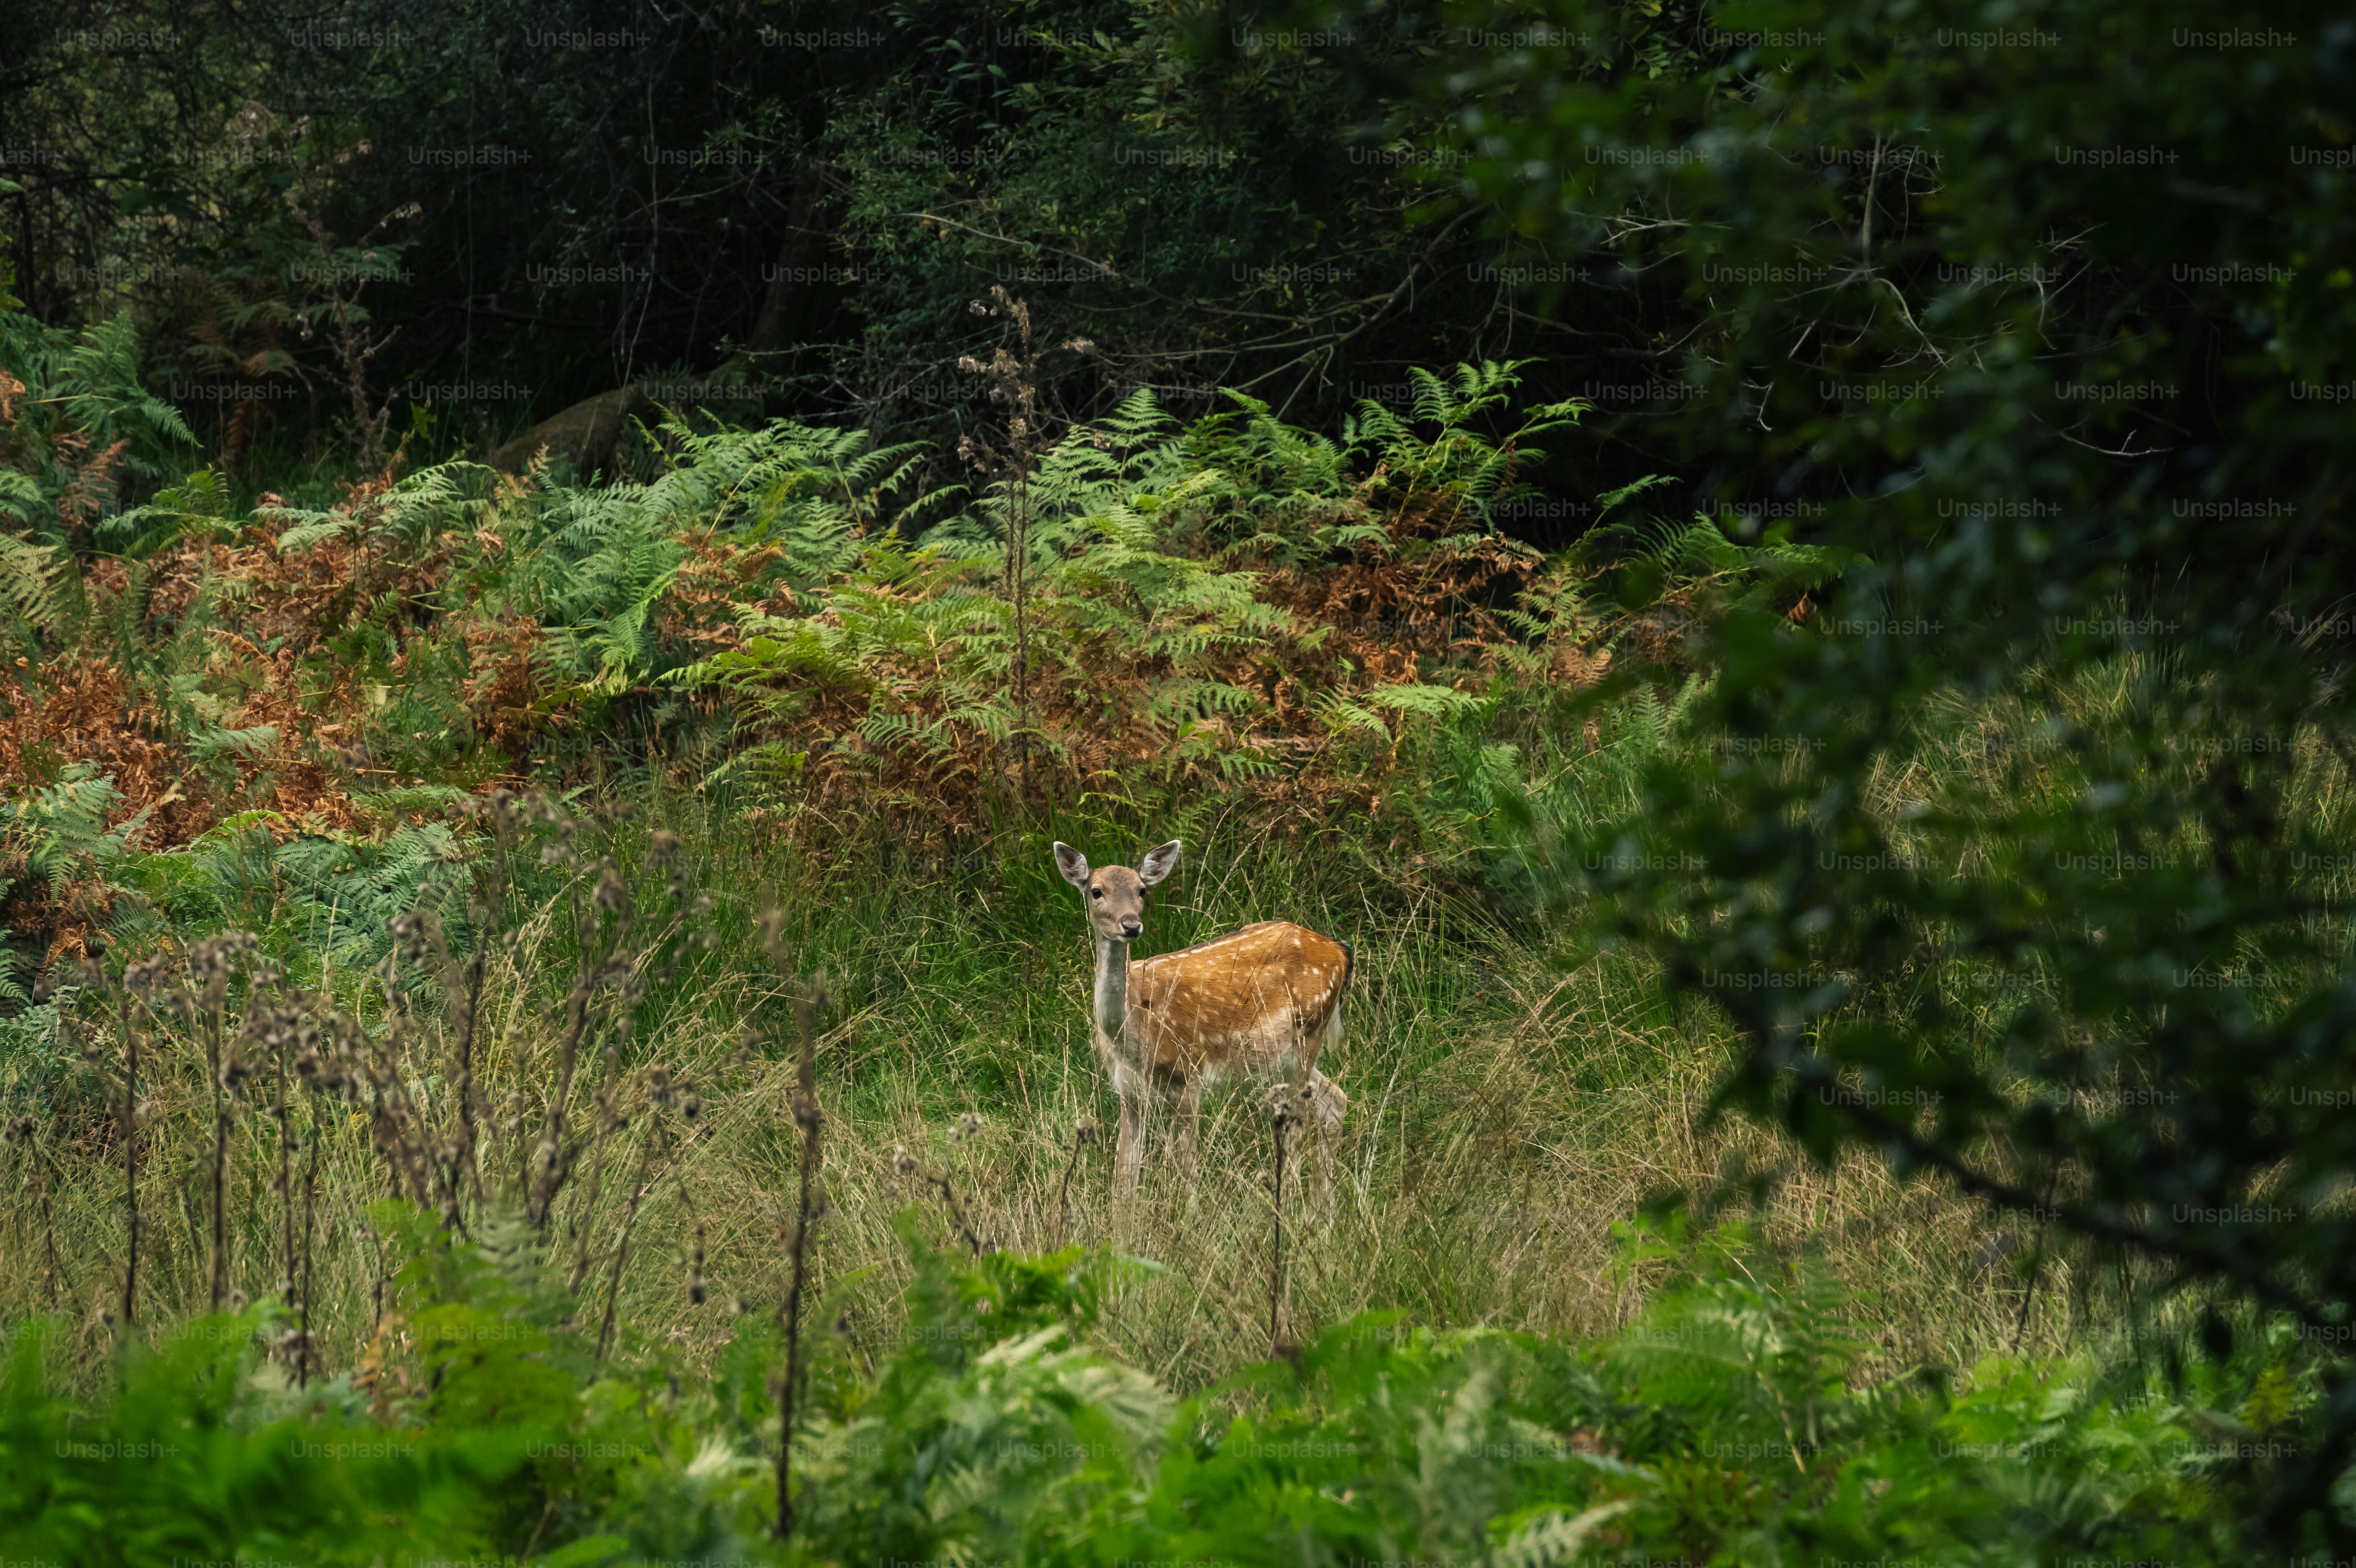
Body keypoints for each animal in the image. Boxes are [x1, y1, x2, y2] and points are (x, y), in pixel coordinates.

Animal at [1054, 838, 1349, 1189]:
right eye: (1096, 891)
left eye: (1142, 890)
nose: (1131, 925)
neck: (1136, 1036)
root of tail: (1341, 952)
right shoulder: (1127, 1089)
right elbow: (1125, 1174)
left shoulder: (1189, 1074)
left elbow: (1188, 1170)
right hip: (1286, 1056)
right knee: (1334, 1099)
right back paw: (1323, 1202)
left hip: (1309, 1034)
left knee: (1299, 1127)